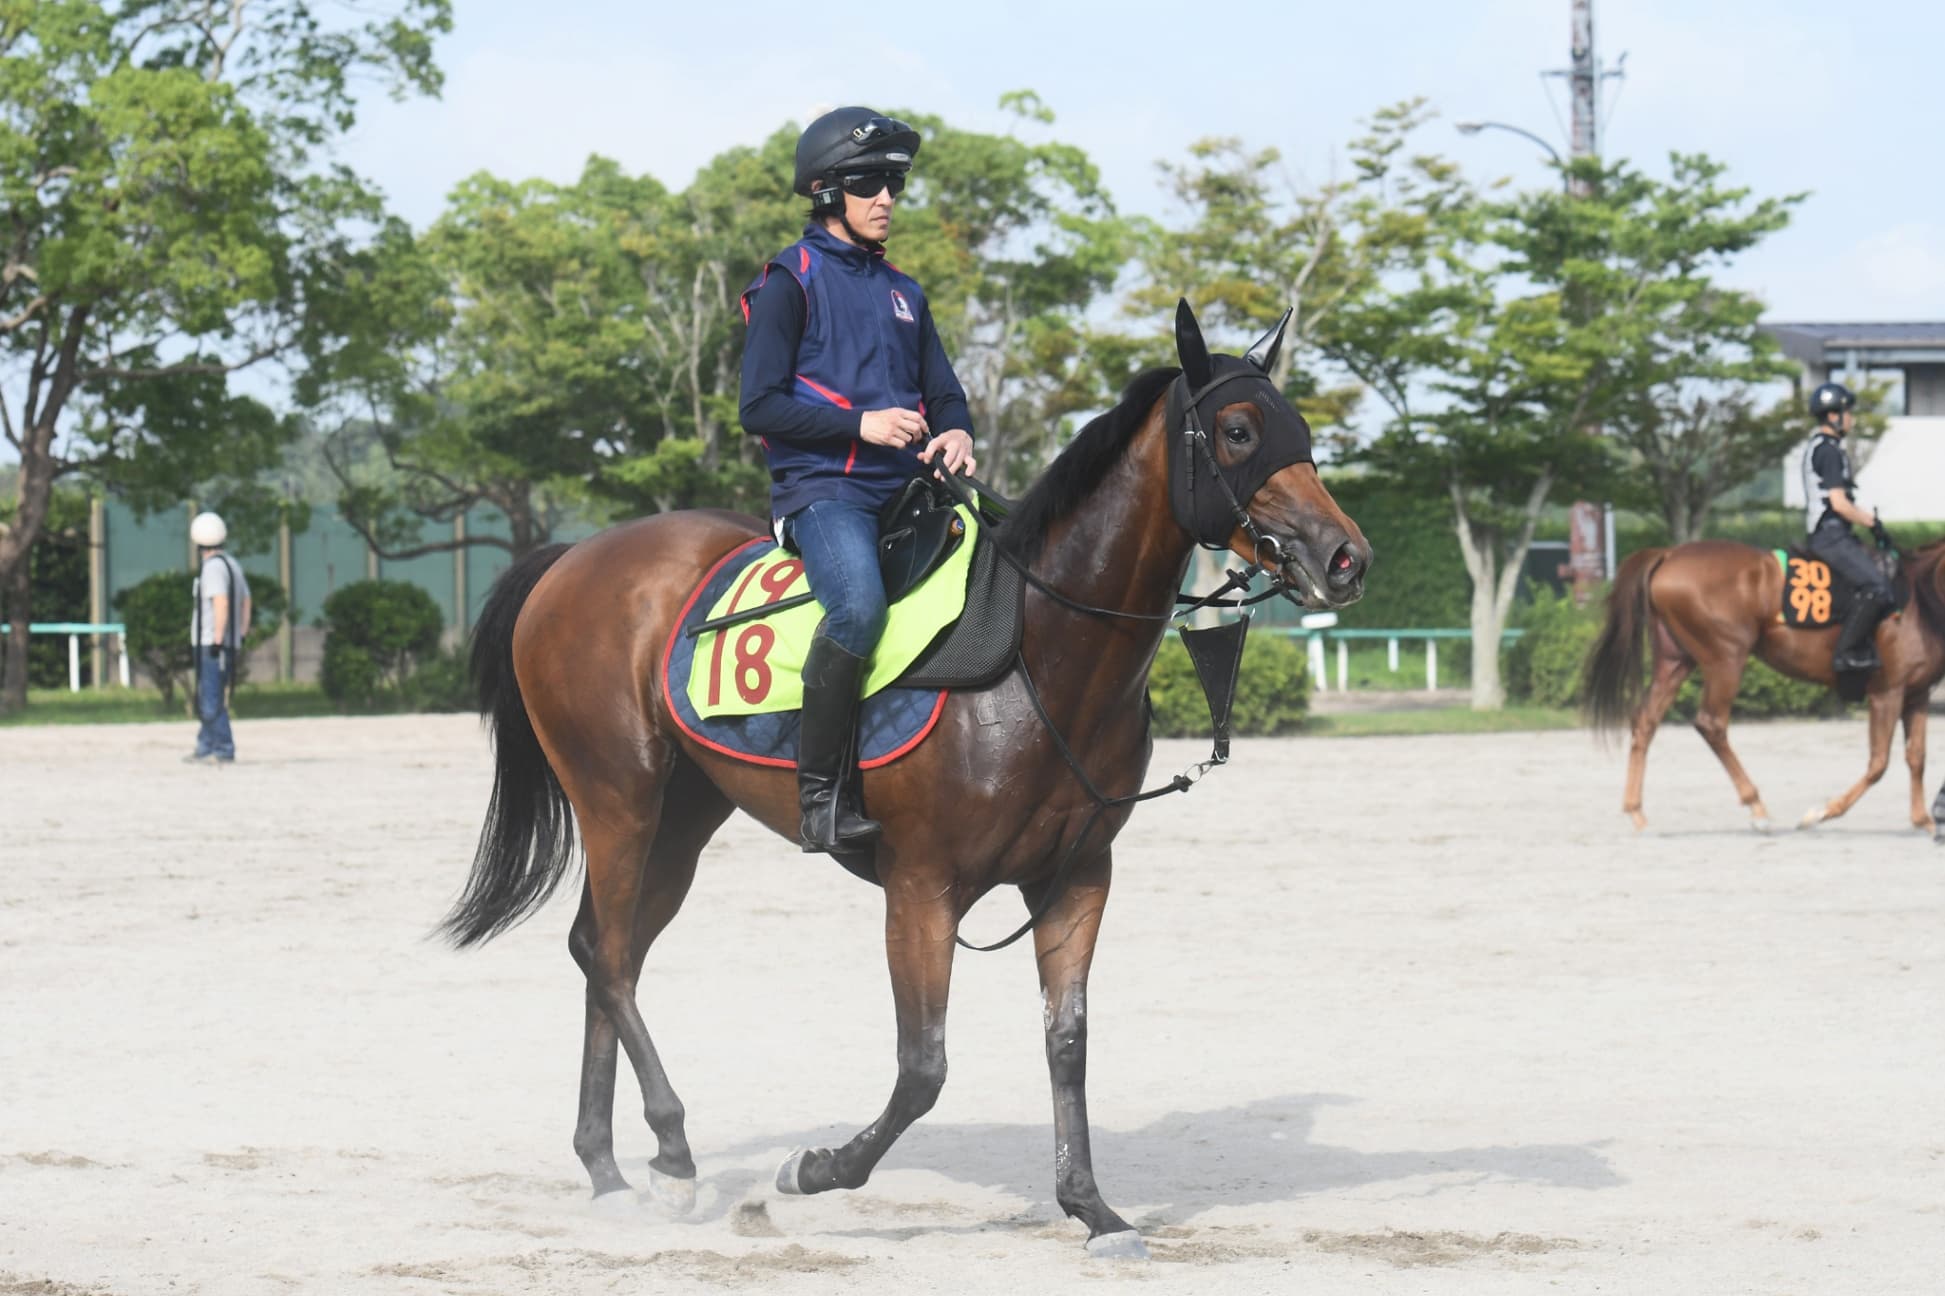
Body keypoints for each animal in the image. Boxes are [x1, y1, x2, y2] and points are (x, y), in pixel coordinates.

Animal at [439, 301, 1371, 1258]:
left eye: (1296, 427)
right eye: (1237, 430)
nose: (1345, 556)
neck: (1037, 651)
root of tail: (570, 560)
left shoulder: (1076, 876)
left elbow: (1066, 1042)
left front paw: (1091, 1208)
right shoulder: (921, 886)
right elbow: (922, 1068)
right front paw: (815, 1169)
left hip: (682, 820)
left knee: (603, 949)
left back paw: (607, 1169)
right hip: (618, 799)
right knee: (609, 957)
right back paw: (670, 1149)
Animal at [1584, 538, 1945, 833]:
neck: (1920, 600)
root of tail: (1670, 553)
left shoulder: (1916, 694)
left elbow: (1917, 757)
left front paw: (1923, 820)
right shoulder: (1887, 692)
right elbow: (1879, 763)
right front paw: (1821, 813)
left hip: (1675, 661)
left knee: (1646, 720)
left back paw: (1636, 811)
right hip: (1726, 658)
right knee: (1711, 724)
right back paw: (1756, 806)